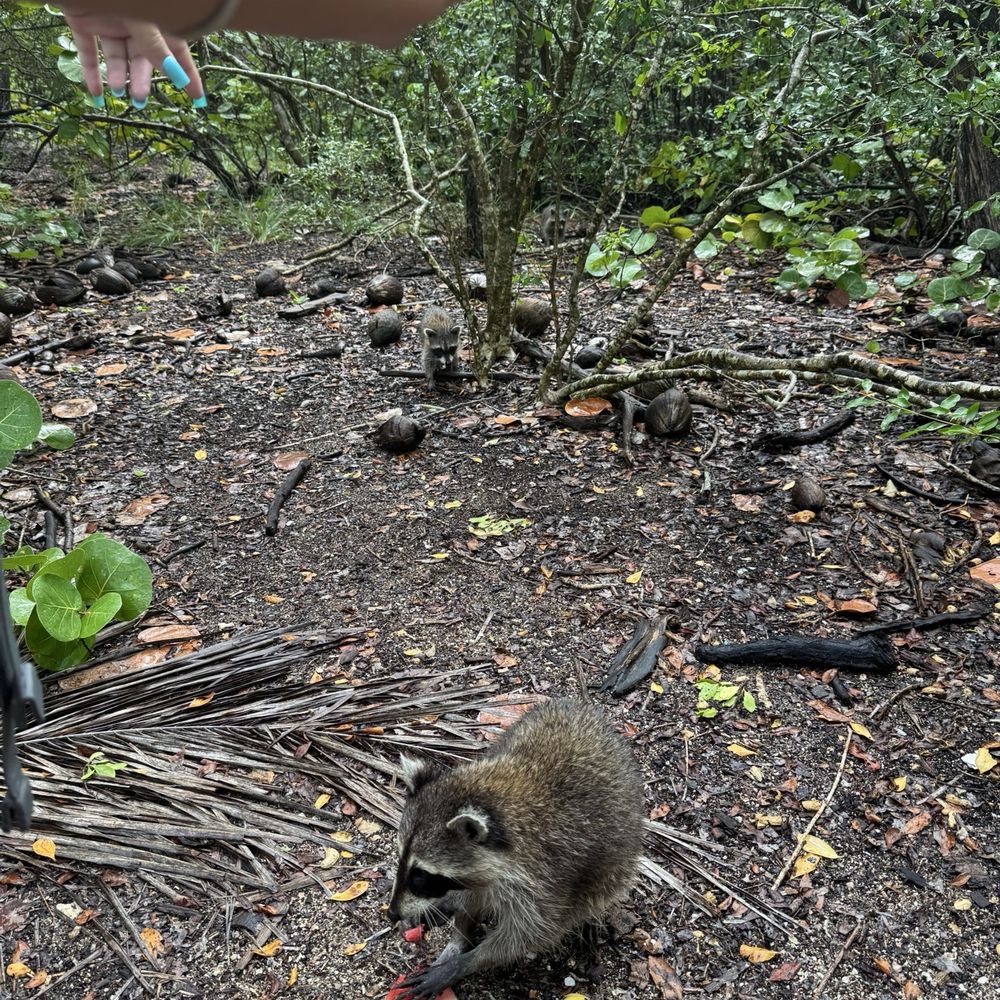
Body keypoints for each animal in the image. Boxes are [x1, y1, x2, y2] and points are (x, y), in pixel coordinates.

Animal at [388, 699, 644, 999]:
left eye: (422, 875)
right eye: (400, 859)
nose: (392, 913)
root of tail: (583, 707)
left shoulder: (547, 882)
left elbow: (529, 935)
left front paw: (466, 961)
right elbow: (473, 899)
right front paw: (459, 938)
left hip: (618, 859)